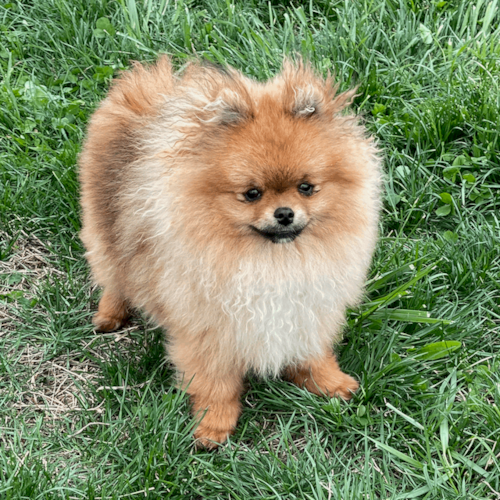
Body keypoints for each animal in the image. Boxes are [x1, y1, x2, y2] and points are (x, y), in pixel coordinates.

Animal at [80, 55, 380, 450]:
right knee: (113, 274)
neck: (272, 261)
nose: (285, 213)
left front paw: (328, 382)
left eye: (306, 188)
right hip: (102, 228)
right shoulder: (208, 328)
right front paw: (213, 425)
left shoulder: (306, 309)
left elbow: (311, 353)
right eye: (251, 194)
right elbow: (215, 383)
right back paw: (110, 314)